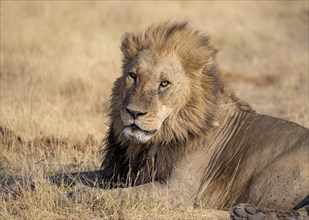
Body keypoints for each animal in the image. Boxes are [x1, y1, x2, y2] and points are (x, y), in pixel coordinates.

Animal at [6, 21, 308, 218]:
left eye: (164, 84)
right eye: (133, 76)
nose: (134, 113)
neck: (153, 141)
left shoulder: (177, 191)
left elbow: (122, 195)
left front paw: (77, 196)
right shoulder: (117, 172)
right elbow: (65, 175)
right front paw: (22, 186)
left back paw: (249, 212)